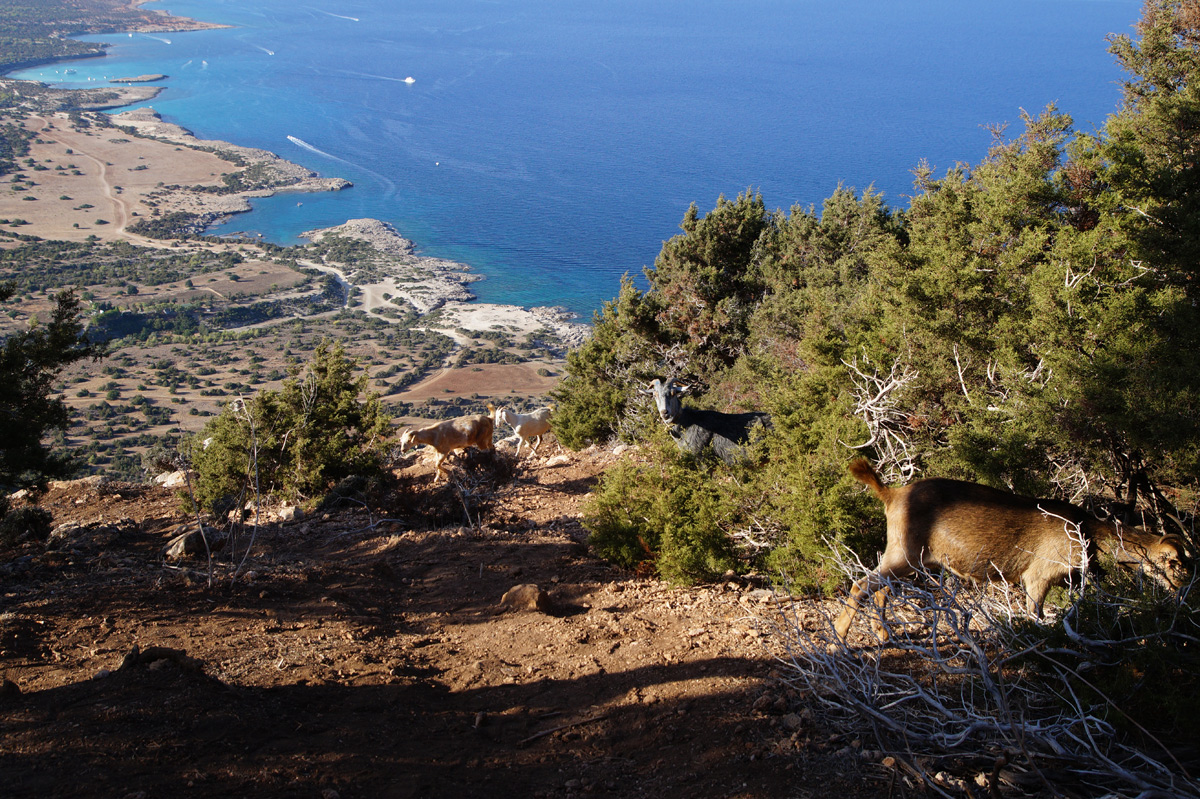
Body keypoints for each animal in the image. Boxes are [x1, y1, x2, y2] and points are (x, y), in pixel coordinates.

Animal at [835, 458, 1190, 638]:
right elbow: (1035, 614)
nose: (1183, 593)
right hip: (905, 552)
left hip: (910, 560)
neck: (1088, 530)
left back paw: (883, 635)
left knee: (880, 589)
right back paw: (839, 639)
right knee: (861, 584)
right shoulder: (1039, 575)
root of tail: (892, 494)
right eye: (1174, 564)